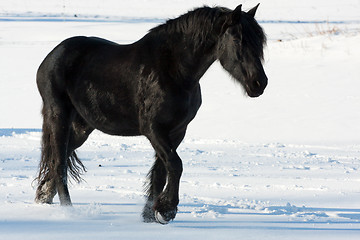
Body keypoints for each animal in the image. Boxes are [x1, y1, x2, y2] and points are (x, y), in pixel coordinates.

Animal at [35, 3, 268, 224]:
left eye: (260, 41)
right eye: (238, 40)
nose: (259, 83)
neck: (174, 71)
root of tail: (52, 56)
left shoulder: (177, 131)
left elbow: (161, 172)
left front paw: (150, 215)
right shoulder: (154, 129)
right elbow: (175, 165)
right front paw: (167, 210)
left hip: (82, 127)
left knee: (61, 158)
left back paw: (43, 196)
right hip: (59, 116)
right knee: (59, 164)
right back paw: (69, 211)